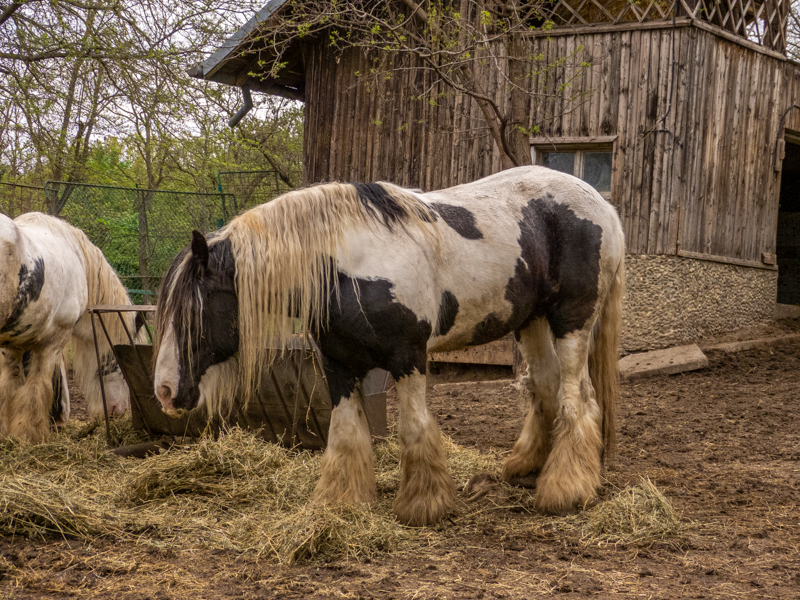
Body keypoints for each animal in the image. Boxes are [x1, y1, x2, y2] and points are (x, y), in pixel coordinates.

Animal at [0, 212, 138, 443]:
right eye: (120, 362)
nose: (117, 411)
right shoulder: (54, 339)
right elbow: (37, 387)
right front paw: (30, 434)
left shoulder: (13, 345)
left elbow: (9, 386)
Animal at [152, 166, 625, 526]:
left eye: (193, 314)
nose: (165, 392)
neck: (350, 263)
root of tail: (604, 207)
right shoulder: (338, 365)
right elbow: (345, 434)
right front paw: (341, 499)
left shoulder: (408, 357)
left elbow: (413, 428)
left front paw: (424, 505)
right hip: (531, 322)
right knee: (545, 389)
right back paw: (527, 468)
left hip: (571, 321)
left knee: (577, 397)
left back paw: (565, 488)